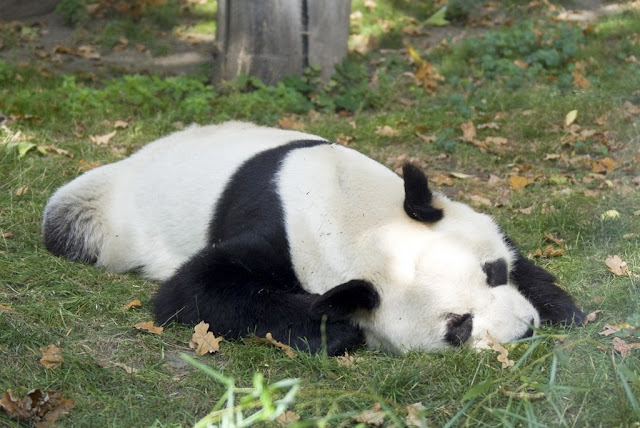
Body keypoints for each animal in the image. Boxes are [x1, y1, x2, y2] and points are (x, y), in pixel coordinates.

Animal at [42, 121, 584, 356]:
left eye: (493, 272)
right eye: (459, 325)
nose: (524, 329)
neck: (351, 219)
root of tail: (140, 155)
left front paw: (561, 307)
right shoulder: (277, 233)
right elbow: (193, 290)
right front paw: (337, 329)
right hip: (103, 215)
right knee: (67, 225)